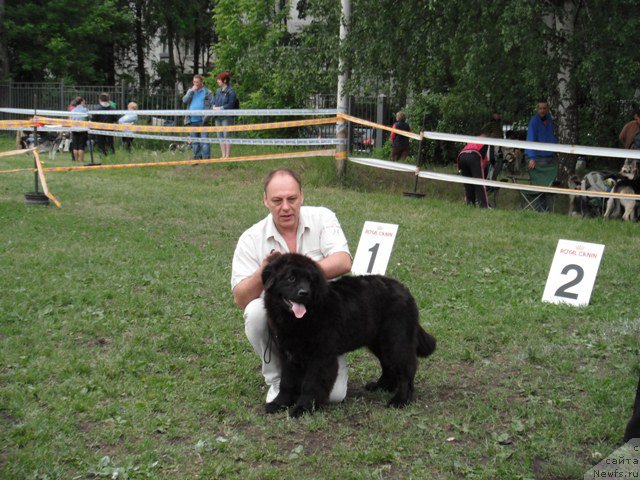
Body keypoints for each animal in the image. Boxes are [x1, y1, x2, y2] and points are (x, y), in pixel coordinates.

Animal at [260, 251, 436, 416]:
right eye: (290, 278)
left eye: (310, 281)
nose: (304, 293)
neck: (301, 319)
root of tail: (404, 290)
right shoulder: (289, 354)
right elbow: (286, 382)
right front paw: (279, 403)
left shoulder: (321, 356)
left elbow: (310, 384)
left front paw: (303, 408)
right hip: (378, 341)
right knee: (388, 364)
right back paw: (381, 386)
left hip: (396, 339)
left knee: (406, 368)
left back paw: (400, 400)